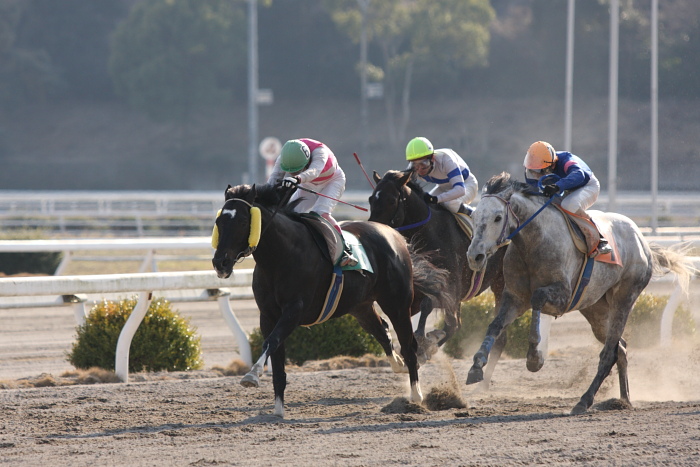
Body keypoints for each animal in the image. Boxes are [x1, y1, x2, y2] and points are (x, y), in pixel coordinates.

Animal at [464, 174, 696, 414]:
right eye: (474, 215)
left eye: (498, 217)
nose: (475, 256)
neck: (534, 242)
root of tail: (642, 240)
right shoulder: (514, 298)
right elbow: (495, 325)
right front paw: (476, 366)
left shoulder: (562, 296)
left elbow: (537, 298)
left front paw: (534, 357)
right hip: (596, 310)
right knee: (620, 348)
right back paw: (623, 399)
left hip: (624, 298)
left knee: (608, 353)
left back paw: (584, 400)